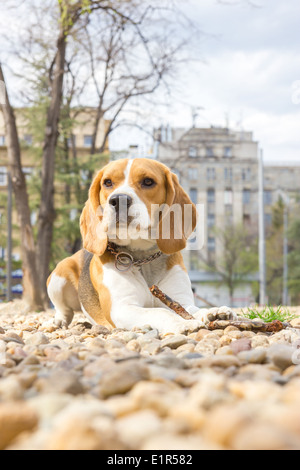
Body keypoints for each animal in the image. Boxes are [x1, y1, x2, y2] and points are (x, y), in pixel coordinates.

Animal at [47, 158, 237, 334]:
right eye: (107, 182)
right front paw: (181, 323)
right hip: (58, 278)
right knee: (64, 310)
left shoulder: (178, 300)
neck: (143, 258)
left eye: (148, 181)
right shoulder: (122, 307)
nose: (119, 199)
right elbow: (160, 312)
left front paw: (213, 312)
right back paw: (58, 321)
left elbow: (191, 310)